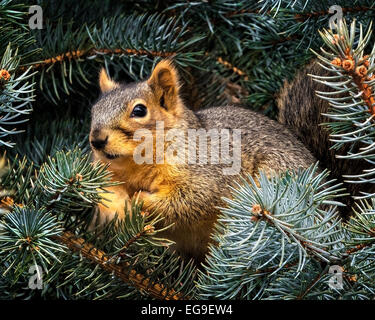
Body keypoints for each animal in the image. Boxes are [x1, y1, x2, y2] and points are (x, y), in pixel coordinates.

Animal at [89, 60, 318, 262]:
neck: (135, 165)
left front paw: (141, 199)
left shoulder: (205, 171)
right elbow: (107, 195)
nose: (97, 140)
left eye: (139, 110)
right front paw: (120, 209)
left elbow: (191, 199)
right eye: (94, 111)